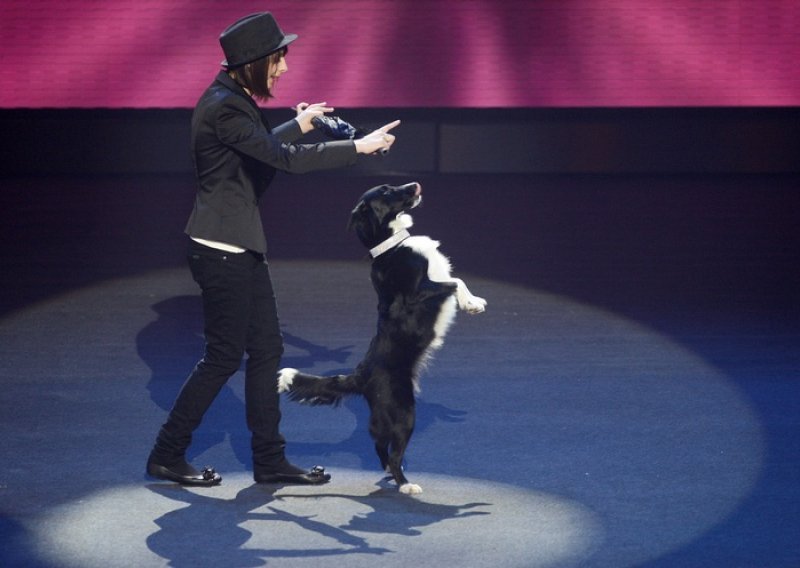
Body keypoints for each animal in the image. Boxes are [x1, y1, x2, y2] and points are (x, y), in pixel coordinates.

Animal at [276, 182, 488, 492]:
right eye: (387, 191)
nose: (415, 184)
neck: (393, 244)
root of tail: (359, 375)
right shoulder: (417, 292)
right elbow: (454, 281)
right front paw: (472, 303)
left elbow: (455, 280)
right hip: (403, 412)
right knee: (393, 450)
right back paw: (405, 484)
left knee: (379, 446)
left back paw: (392, 474)